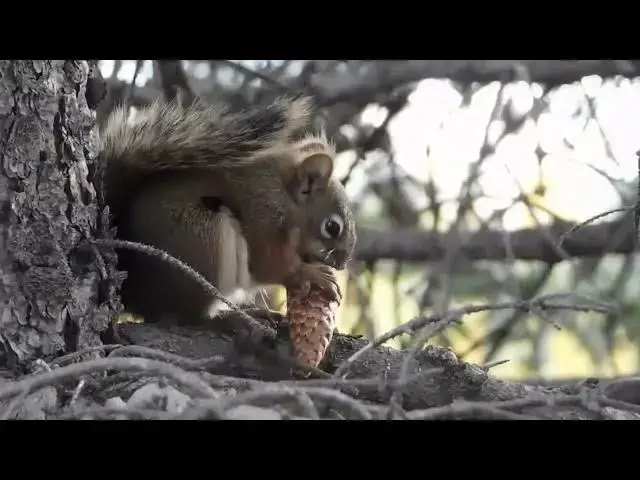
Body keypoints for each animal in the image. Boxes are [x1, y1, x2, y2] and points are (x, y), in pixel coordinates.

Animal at [99, 95, 357, 325]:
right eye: (332, 227)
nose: (342, 265)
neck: (284, 195)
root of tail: (137, 294)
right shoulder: (261, 216)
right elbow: (268, 264)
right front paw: (310, 273)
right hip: (207, 243)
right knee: (192, 316)